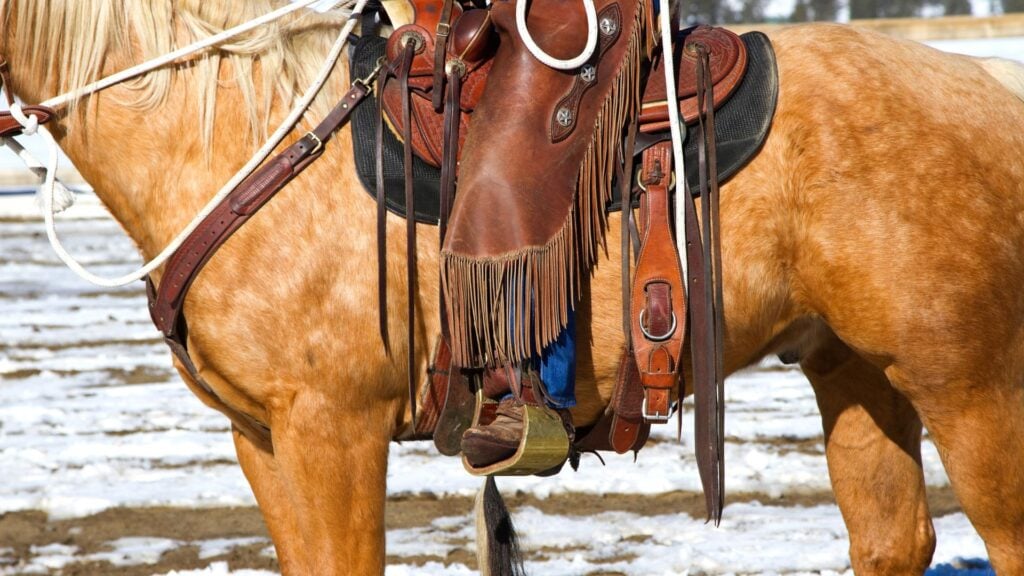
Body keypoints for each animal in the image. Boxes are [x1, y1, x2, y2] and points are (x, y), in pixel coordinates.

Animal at [2, 0, 1024, 569]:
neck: (239, 131)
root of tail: (993, 87)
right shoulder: (261, 437)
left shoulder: (332, 430)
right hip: (852, 372)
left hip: (970, 388)